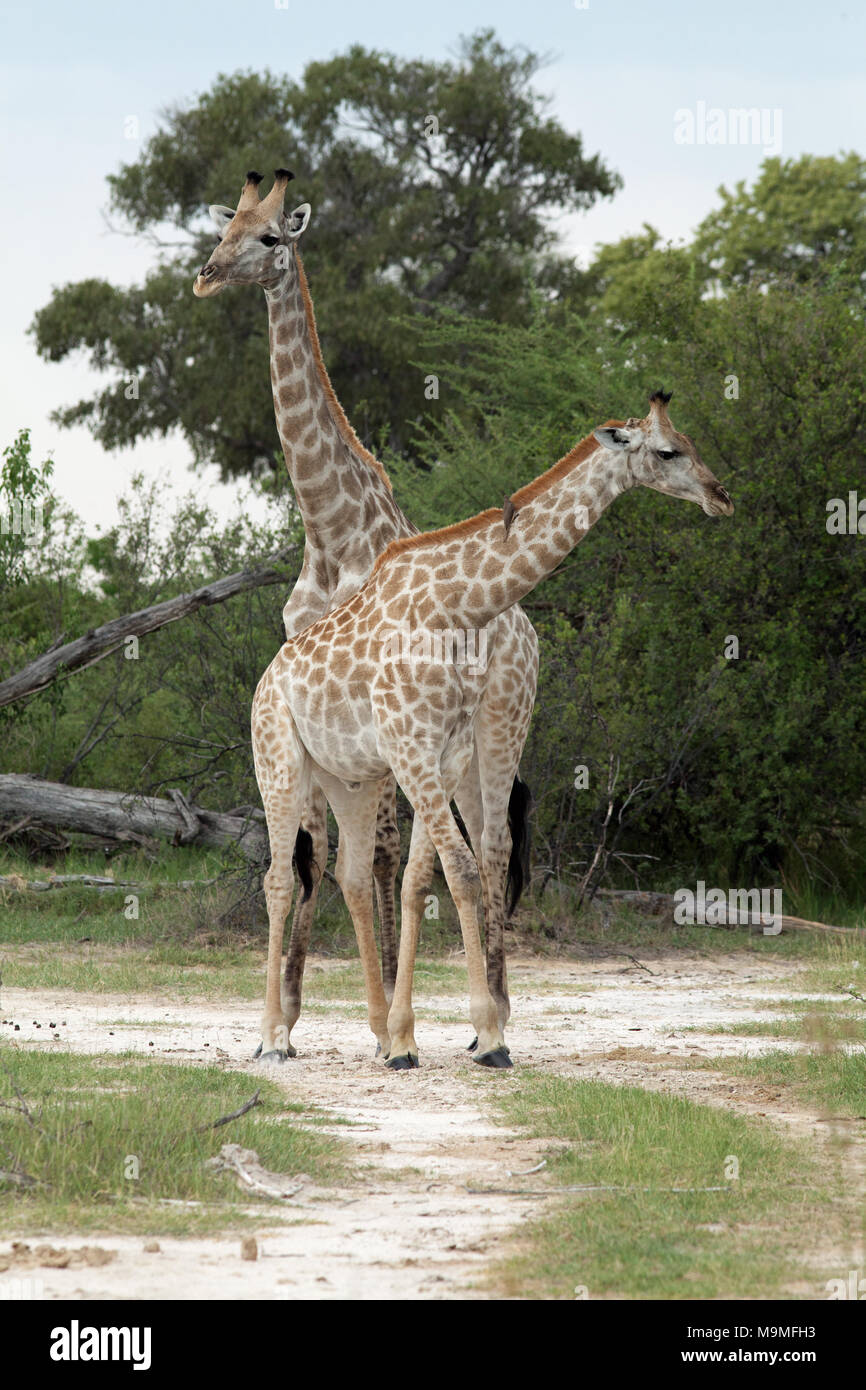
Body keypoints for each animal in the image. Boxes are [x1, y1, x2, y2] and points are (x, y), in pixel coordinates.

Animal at [193, 168, 539, 1045]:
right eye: (224, 228)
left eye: (269, 237)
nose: (207, 275)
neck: (328, 527)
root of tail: (526, 630)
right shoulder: (314, 692)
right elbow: (318, 848)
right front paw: (291, 1012)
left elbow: (378, 852)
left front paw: (386, 1019)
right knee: (463, 840)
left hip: (500, 725)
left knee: (489, 844)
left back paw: (496, 1013)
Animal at [250, 391, 733, 1061]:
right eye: (668, 452)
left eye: (690, 443)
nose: (721, 495)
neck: (455, 608)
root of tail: (266, 678)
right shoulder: (412, 744)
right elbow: (461, 869)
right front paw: (485, 1034)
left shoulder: (441, 752)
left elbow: (425, 877)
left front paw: (411, 1039)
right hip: (280, 761)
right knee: (276, 877)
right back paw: (272, 1036)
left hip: (353, 778)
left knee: (348, 874)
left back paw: (372, 1030)